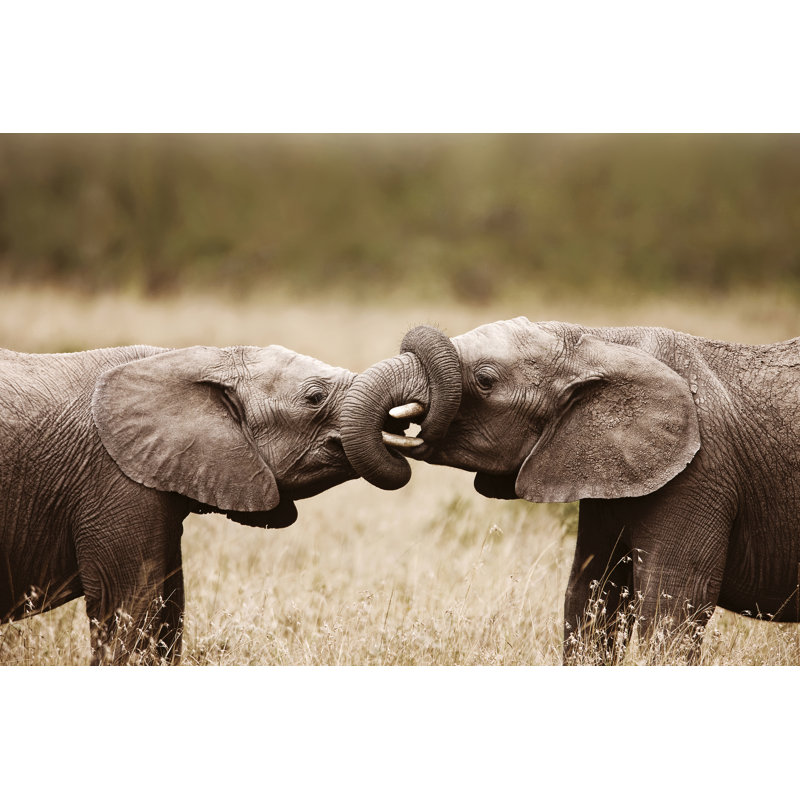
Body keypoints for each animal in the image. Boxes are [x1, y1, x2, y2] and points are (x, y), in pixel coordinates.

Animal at [341, 318, 800, 663]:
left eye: (485, 380)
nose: (400, 427)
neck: (600, 341)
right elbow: (592, 598)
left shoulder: (700, 475)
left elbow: (670, 611)